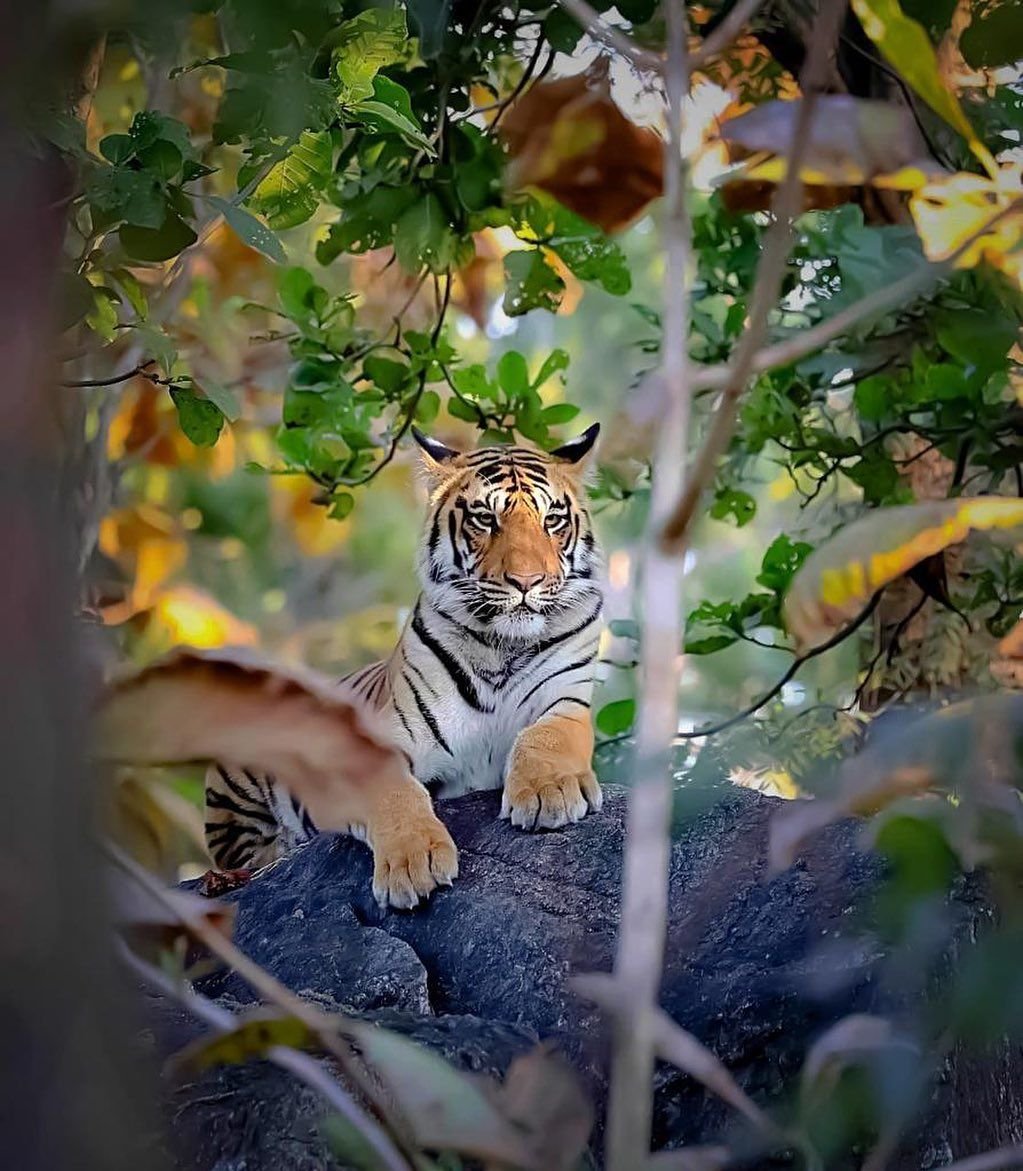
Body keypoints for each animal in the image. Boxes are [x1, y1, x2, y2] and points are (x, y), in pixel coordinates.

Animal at [204, 426, 603, 908]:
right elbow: (396, 792)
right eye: (485, 519)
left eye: (553, 520)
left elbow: (547, 736)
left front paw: (549, 793)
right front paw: (413, 862)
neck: (500, 646)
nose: (527, 583)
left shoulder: (567, 697)